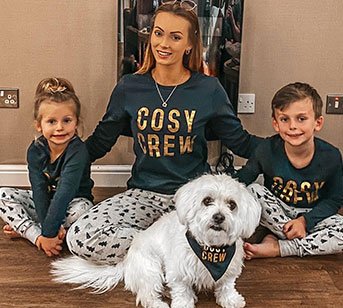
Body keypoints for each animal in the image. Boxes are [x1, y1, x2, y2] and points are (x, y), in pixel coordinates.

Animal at [51, 174, 260, 306]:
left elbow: (226, 286)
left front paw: (231, 300)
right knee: (146, 295)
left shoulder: (229, 271)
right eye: (207, 200)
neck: (210, 248)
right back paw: (159, 304)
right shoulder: (178, 272)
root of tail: (126, 262)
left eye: (232, 205)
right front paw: (183, 304)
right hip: (150, 269)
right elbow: (182, 291)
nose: (218, 217)